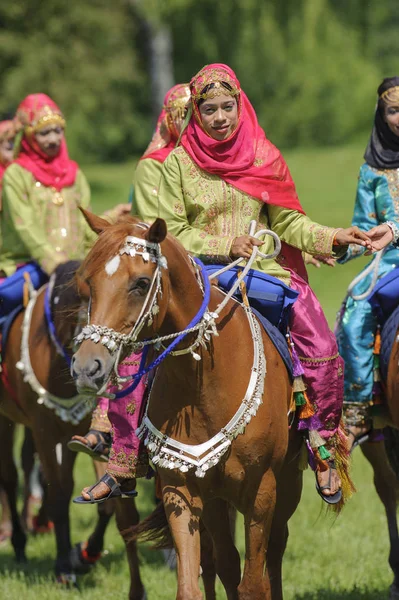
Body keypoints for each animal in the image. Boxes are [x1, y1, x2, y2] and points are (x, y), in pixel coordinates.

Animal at [0, 260, 146, 596]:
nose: (92, 370)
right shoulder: (44, 429)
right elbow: (58, 491)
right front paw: (64, 567)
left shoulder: (84, 435)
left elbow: (109, 505)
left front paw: (85, 555)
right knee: (10, 476)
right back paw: (18, 540)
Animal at [71, 213, 304, 596]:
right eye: (88, 282)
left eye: (140, 283)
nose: (87, 367)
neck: (205, 384)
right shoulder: (180, 489)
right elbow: (192, 585)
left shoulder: (262, 492)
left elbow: (255, 585)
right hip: (216, 500)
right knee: (224, 562)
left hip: (288, 482)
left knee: (275, 550)